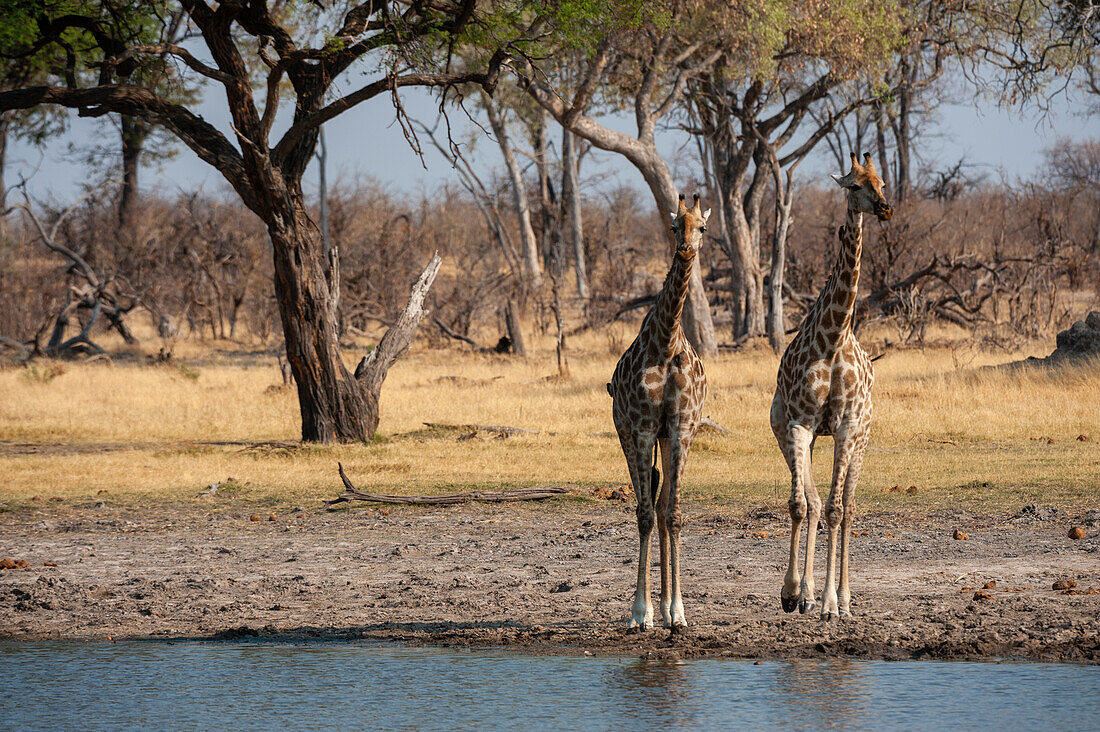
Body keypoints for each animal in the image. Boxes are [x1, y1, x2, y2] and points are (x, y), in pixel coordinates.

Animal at [774, 150, 893, 620]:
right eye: (854, 185)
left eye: (882, 183)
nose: (885, 209)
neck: (833, 336)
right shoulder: (800, 424)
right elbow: (802, 505)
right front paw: (795, 592)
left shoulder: (844, 427)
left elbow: (837, 509)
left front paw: (829, 604)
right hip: (797, 436)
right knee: (813, 504)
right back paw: (807, 593)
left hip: (862, 439)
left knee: (850, 507)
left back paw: (843, 598)